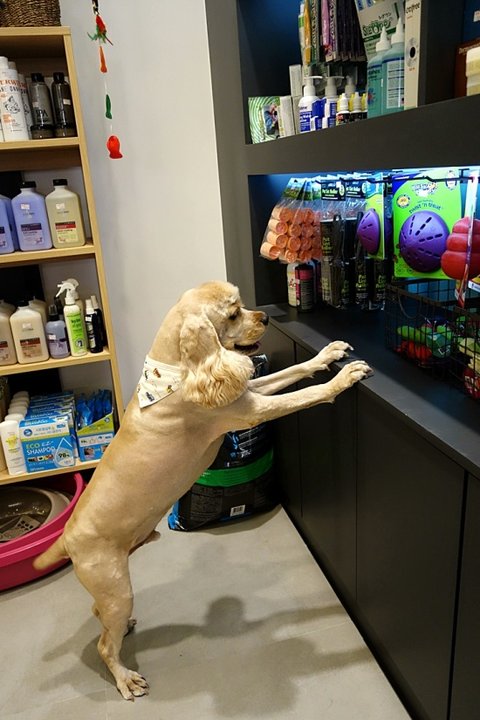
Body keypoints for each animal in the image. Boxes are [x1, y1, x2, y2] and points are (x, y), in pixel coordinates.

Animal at [34, 280, 372, 700]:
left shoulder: (244, 389)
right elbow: (303, 395)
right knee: (103, 645)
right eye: (233, 314)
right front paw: (342, 379)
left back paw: (124, 629)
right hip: (115, 587)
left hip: (112, 593)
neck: (179, 369)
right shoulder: (249, 409)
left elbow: (294, 369)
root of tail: (67, 537)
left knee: (100, 618)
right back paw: (125, 678)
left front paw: (328, 353)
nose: (265, 317)